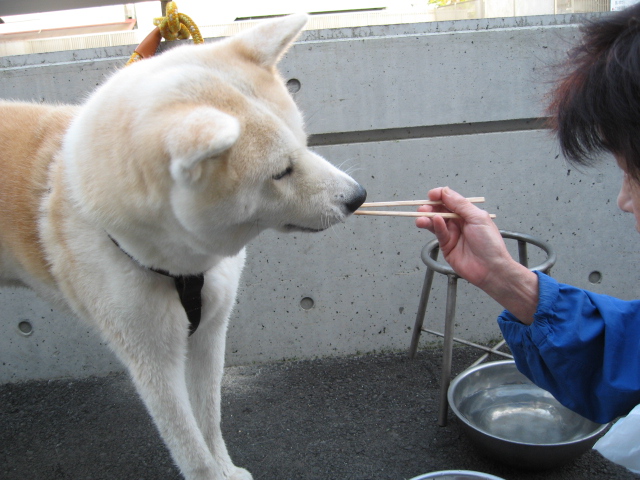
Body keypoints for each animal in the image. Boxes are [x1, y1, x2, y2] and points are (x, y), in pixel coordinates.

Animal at [0, 15, 368, 480]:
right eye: (281, 171)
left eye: (304, 142)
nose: (358, 197)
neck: (180, 265)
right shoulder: (151, 359)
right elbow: (190, 448)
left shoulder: (210, 331)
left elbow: (209, 420)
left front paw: (227, 470)